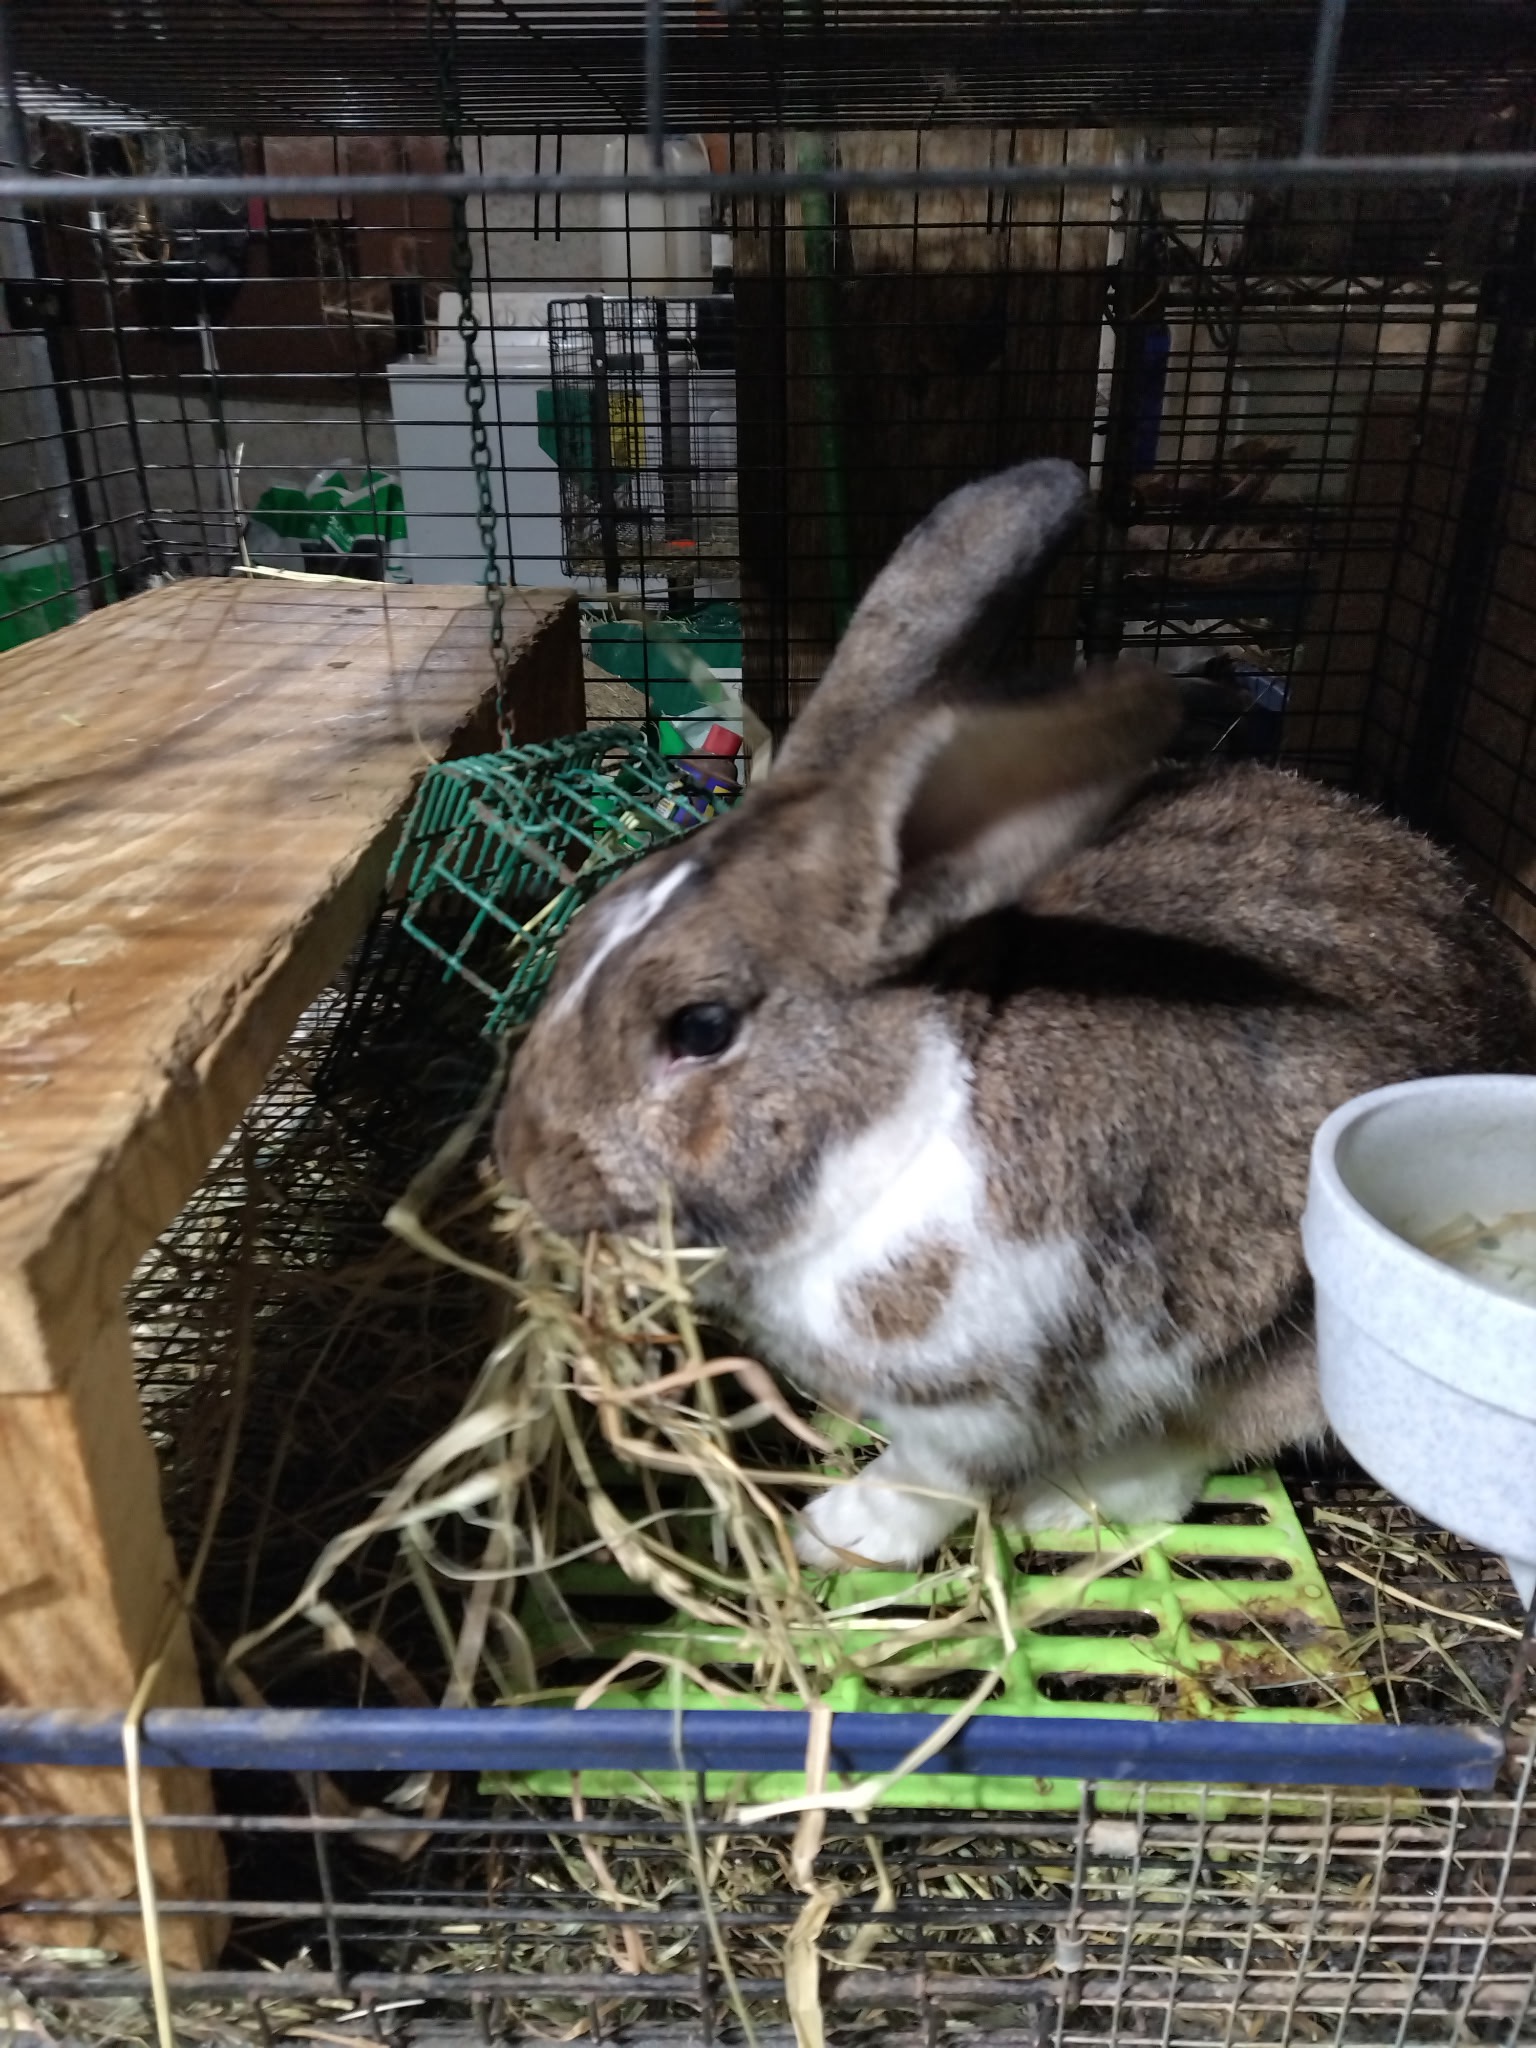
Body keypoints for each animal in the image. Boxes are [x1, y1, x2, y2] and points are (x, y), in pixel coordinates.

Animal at [494, 459, 1536, 1571]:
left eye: (699, 1027)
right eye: (579, 935)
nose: (526, 1167)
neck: (902, 1116)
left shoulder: (990, 1392)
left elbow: (931, 1477)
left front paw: (838, 1537)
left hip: (1282, 1350)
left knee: (1202, 1444)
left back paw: (1069, 1506)